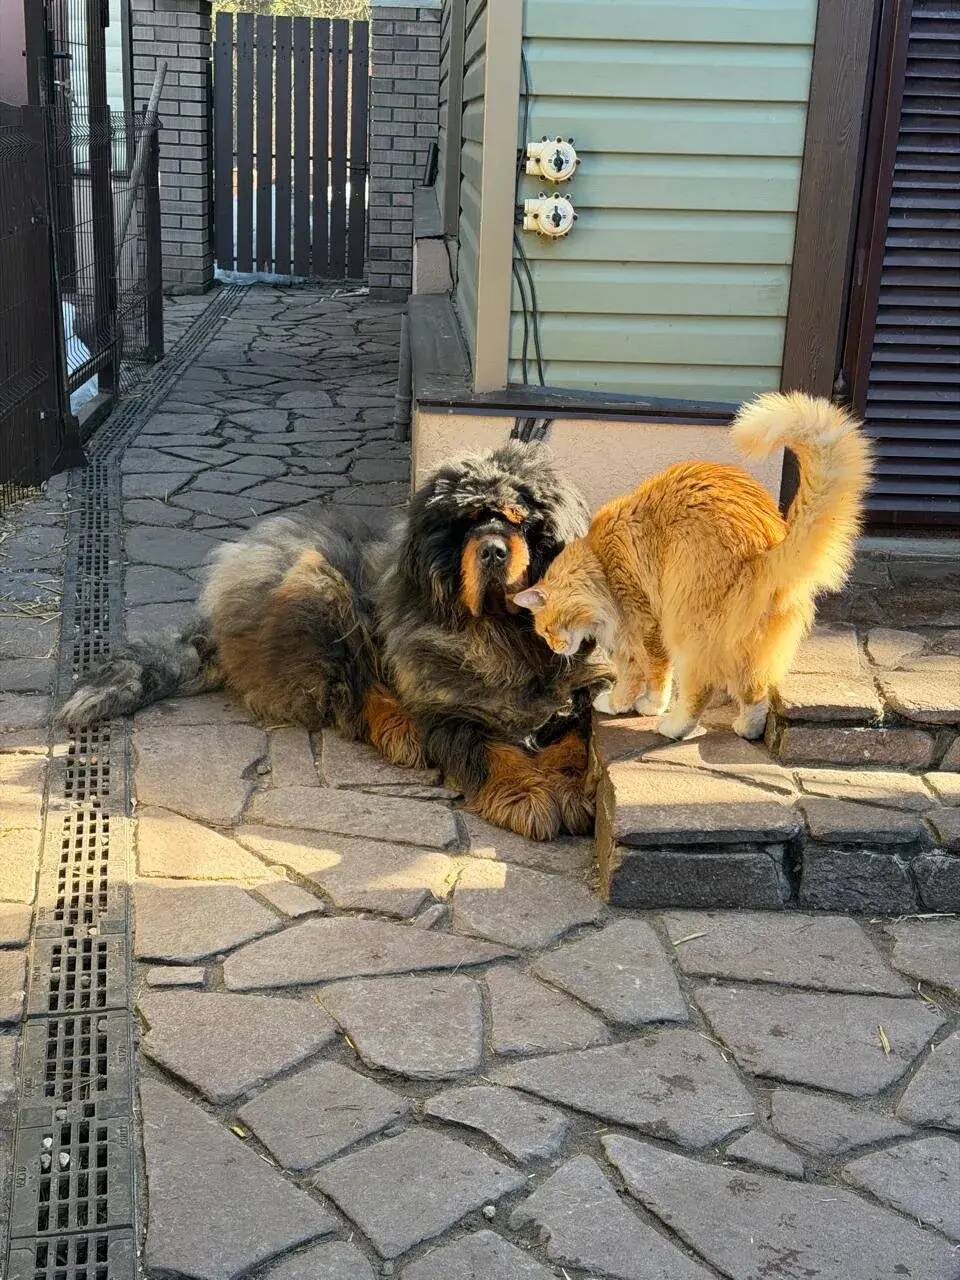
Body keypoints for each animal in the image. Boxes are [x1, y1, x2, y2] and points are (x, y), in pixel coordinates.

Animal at [61, 442, 613, 839]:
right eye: (467, 524)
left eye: (523, 523)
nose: (494, 550)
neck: (505, 637)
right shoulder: (448, 710)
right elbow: (489, 751)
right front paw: (528, 795)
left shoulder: (578, 695)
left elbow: (573, 741)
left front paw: (568, 791)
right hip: (322, 590)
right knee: (353, 691)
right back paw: (400, 730)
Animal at [513, 392, 873, 741]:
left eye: (546, 630)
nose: (555, 649)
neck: (599, 561)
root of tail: (765, 546)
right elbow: (636, 674)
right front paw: (627, 702)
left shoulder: (643, 627)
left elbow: (648, 675)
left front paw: (636, 705)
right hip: (746, 647)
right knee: (756, 692)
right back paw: (748, 728)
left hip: (685, 625)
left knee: (700, 690)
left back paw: (674, 726)